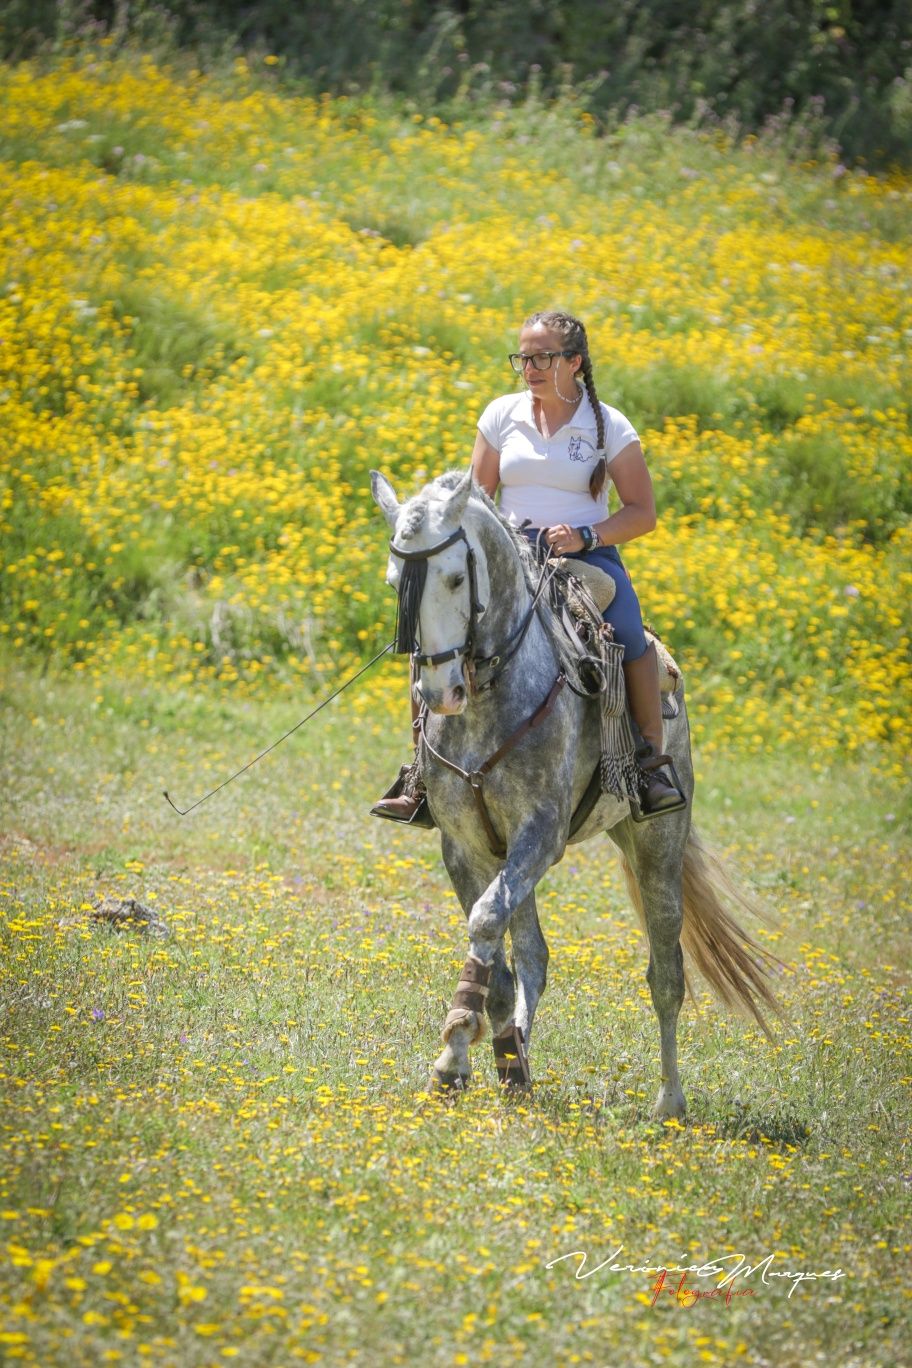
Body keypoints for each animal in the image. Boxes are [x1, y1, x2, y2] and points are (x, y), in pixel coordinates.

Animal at [371, 465, 776, 1116]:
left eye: (456, 578)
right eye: (394, 583)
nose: (440, 693)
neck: (493, 695)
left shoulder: (540, 835)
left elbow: (487, 923)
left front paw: (454, 1054)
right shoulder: (466, 847)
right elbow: (500, 956)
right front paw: (485, 1055)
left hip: (656, 846)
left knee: (667, 975)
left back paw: (670, 1102)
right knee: (535, 957)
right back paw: (517, 1057)